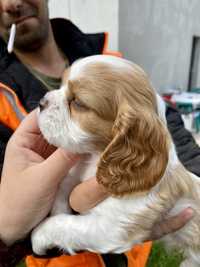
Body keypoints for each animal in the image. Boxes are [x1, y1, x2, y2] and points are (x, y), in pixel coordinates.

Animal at [31, 55, 200, 266]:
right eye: (60, 85)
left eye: (78, 102)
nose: (41, 102)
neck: (95, 157)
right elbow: (63, 186)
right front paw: (59, 207)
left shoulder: (111, 227)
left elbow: (64, 224)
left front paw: (39, 235)